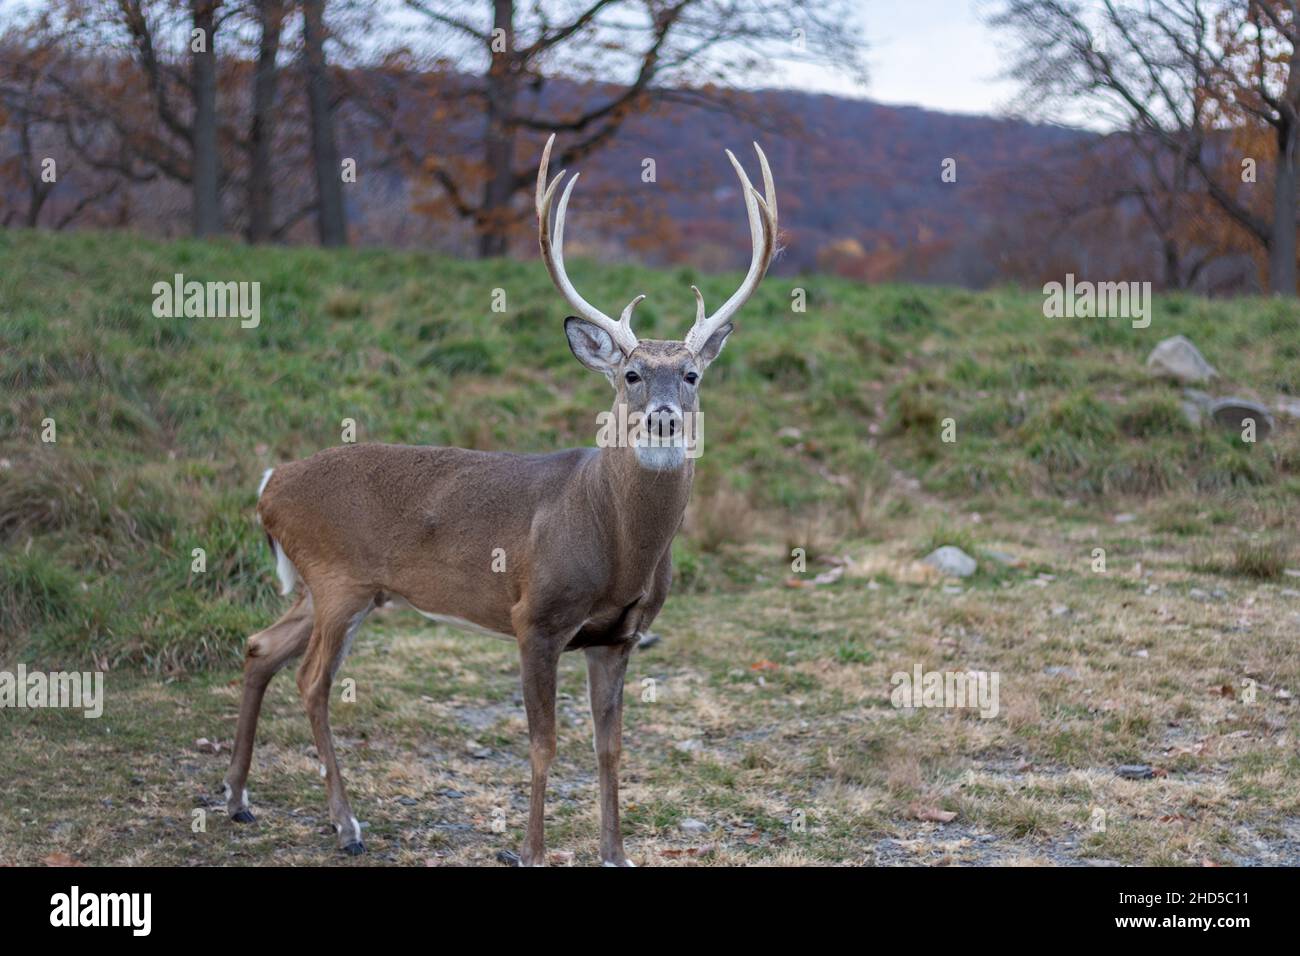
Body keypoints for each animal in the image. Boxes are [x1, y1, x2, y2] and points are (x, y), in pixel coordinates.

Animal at [221, 133, 778, 866]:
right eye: (630, 374)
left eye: (690, 375)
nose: (662, 418)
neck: (618, 544)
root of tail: (270, 484)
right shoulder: (534, 616)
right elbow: (543, 745)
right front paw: (533, 851)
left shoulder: (619, 636)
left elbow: (610, 749)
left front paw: (616, 853)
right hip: (338, 576)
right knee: (311, 681)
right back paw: (346, 825)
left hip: (333, 587)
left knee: (261, 646)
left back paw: (238, 799)